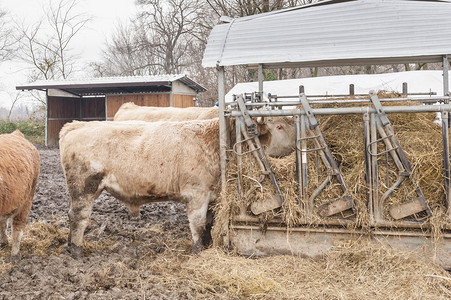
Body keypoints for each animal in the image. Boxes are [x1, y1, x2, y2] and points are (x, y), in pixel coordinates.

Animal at [59, 118, 294, 258]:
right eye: (279, 126)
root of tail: (76, 125)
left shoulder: (210, 196)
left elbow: (208, 223)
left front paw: (207, 245)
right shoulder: (197, 195)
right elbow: (198, 225)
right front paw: (197, 251)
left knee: (71, 214)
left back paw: (70, 245)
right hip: (85, 187)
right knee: (78, 217)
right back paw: (77, 250)